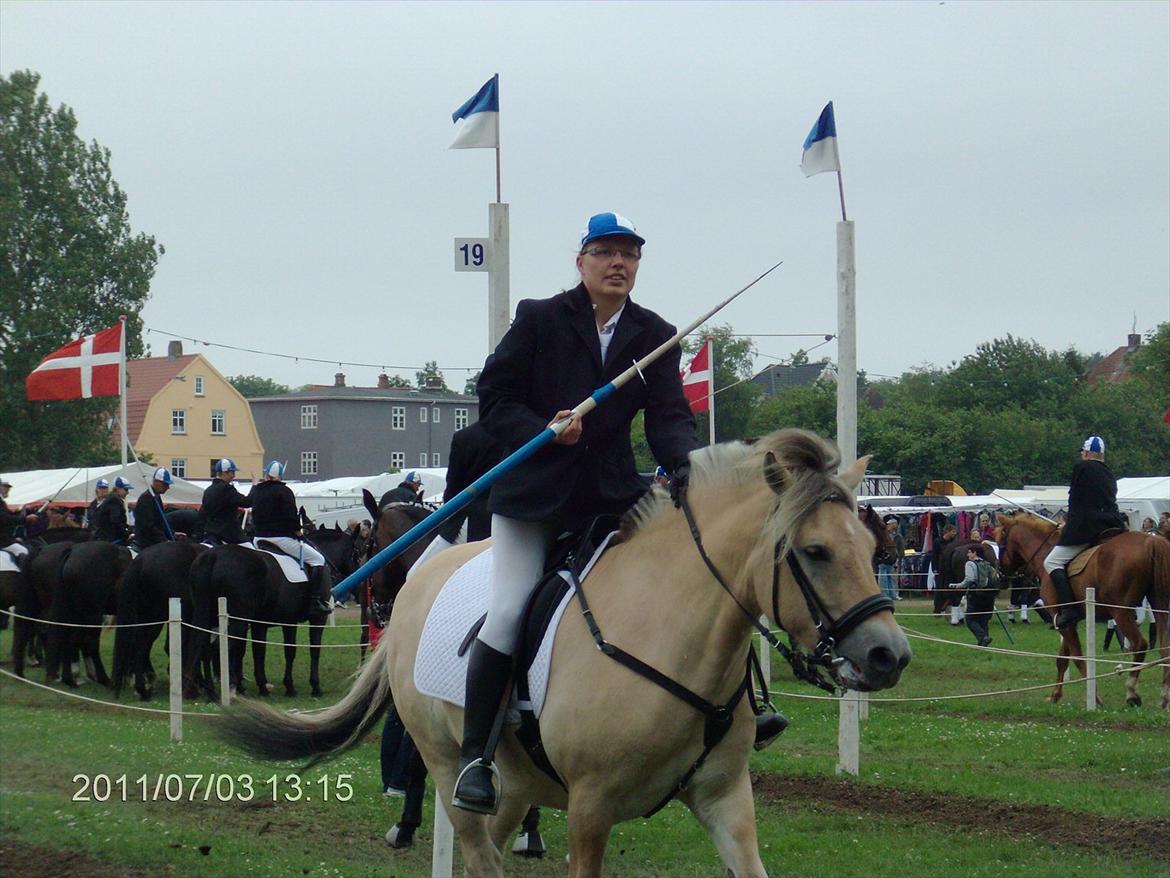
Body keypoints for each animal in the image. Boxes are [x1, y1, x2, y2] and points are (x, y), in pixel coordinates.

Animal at [221, 430, 912, 875]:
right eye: (815, 552)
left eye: (869, 547)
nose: (890, 656)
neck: (670, 632)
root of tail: (422, 574)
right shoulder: (591, 809)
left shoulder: (725, 800)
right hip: (449, 762)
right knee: (475, 846)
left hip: (513, 777)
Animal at [996, 515, 1170, 707]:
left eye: (1000, 540)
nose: (1000, 575)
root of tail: (1150, 540)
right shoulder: (1066, 621)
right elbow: (1062, 659)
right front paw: (1055, 694)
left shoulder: (1062, 620)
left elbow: (1078, 658)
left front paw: (1095, 697)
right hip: (1160, 607)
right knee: (1165, 648)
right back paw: (1164, 697)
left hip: (1121, 613)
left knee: (1139, 644)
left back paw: (1132, 693)